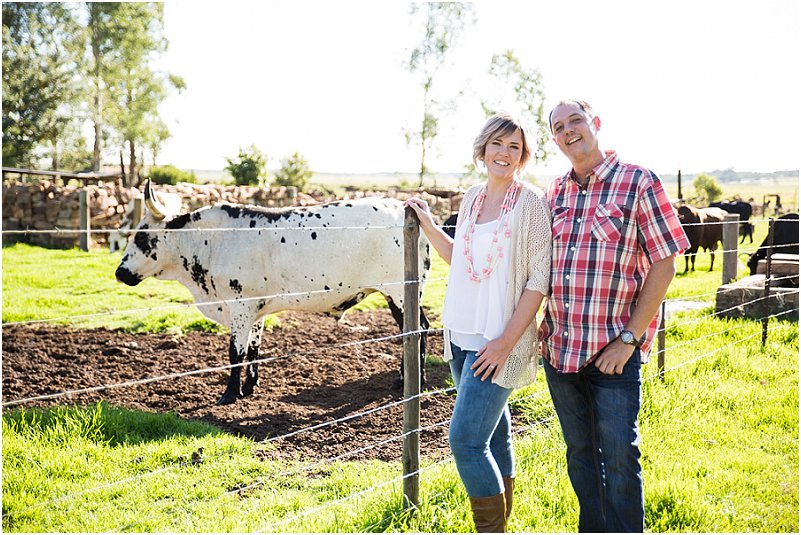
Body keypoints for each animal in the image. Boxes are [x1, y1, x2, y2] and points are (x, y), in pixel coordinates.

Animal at [115, 180, 431, 405]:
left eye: (142, 236)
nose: (120, 273)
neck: (214, 240)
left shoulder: (240, 306)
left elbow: (236, 352)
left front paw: (229, 394)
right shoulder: (256, 309)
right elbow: (254, 349)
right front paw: (249, 386)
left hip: (401, 293)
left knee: (418, 330)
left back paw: (414, 380)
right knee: (416, 330)